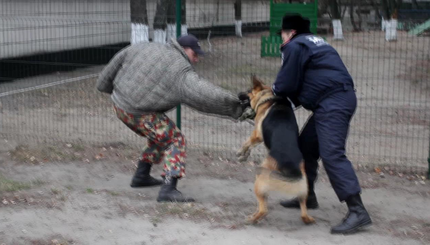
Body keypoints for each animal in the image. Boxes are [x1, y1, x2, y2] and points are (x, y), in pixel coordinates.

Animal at [237, 75, 314, 225]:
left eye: (248, 91)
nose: (238, 94)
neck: (266, 97)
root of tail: (291, 168)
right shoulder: (259, 137)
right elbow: (251, 145)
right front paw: (245, 154)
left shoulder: (257, 134)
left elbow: (247, 142)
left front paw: (241, 153)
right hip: (303, 185)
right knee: (303, 207)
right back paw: (307, 218)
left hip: (260, 178)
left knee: (263, 209)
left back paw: (252, 219)